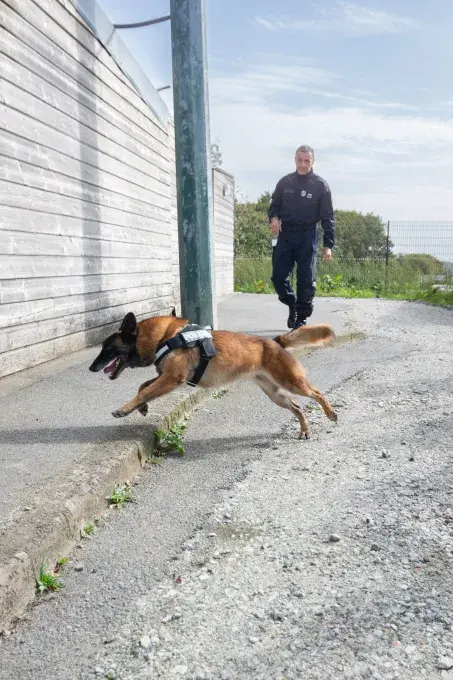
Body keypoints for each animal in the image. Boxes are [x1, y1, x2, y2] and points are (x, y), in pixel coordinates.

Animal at [89, 310, 336, 438]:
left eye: (107, 348)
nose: (91, 368)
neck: (163, 337)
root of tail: (274, 342)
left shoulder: (171, 378)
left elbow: (143, 390)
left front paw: (124, 409)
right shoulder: (166, 377)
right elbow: (143, 387)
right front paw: (141, 408)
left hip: (293, 382)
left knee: (317, 393)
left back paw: (330, 412)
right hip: (275, 394)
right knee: (297, 407)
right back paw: (305, 429)